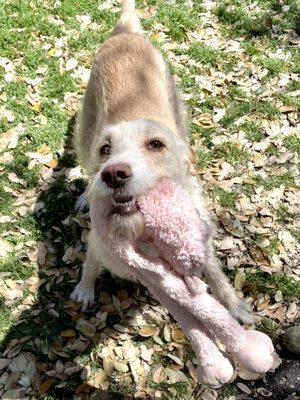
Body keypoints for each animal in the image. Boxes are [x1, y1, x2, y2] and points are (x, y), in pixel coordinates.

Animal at [71, 0, 253, 324]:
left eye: (156, 145)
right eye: (106, 149)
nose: (113, 174)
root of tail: (126, 34)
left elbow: (215, 271)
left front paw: (233, 305)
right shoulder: (98, 244)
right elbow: (90, 264)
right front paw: (84, 289)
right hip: (85, 131)